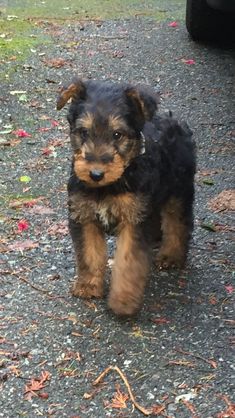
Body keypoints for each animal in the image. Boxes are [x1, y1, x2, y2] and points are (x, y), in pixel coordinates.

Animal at [57, 78, 196, 316]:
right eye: (83, 132)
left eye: (117, 134)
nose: (95, 174)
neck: (110, 185)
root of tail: (175, 122)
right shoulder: (84, 216)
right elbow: (89, 254)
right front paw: (88, 286)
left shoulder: (133, 222)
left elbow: (128, 262)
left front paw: (123, 301)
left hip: (179, 192)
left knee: (178, 224)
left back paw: (171, 256)